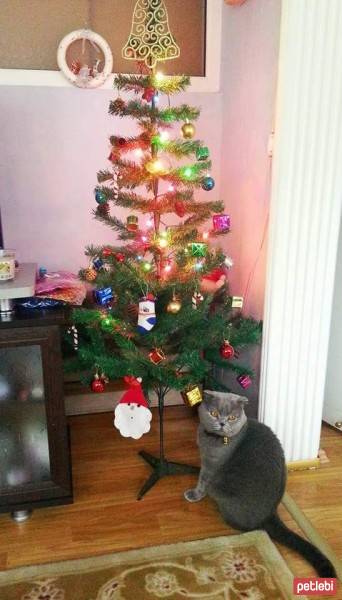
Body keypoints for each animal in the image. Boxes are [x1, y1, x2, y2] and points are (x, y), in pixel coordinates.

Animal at [184, 390, 336, 576]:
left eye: (233, 417)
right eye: (213, 413)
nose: (222, 423)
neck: (215, 439)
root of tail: (270, 514)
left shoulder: (210, 465)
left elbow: (203, 480)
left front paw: (194, 494)